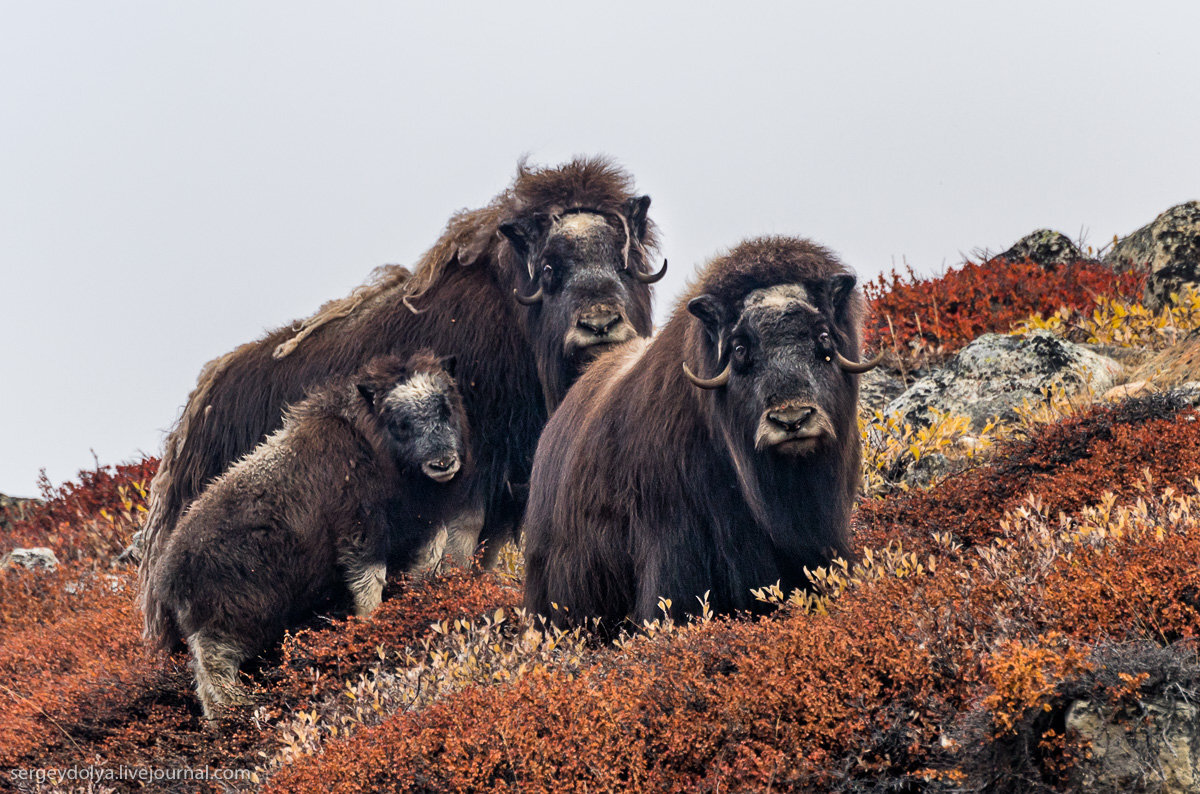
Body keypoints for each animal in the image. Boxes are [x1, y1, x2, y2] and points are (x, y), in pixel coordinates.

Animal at [144, 352, 468, 719]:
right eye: (399, 423)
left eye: (445, 407)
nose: (443, 463)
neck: (371, 446)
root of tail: (166, 572)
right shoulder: (361, 534)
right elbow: (369, 585)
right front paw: (373, 626)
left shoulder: (422, 532)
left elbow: (422, 569)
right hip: (235, 619)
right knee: (213, 667)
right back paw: (239, 711)